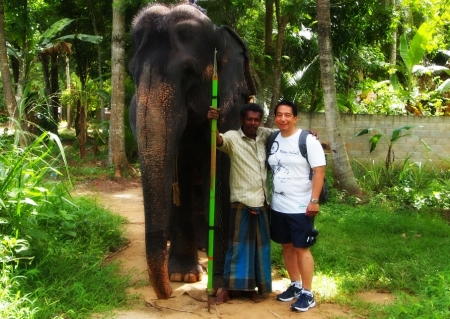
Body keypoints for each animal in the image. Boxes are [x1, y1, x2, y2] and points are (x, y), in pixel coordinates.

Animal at [129, 2, 256, 300]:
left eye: (188, 72)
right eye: (131, 73)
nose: (167, 295)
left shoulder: (230, 106)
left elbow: (220, 175)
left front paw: (220, 284)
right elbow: (181, 176)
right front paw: (182, 275)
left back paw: (203, 248)